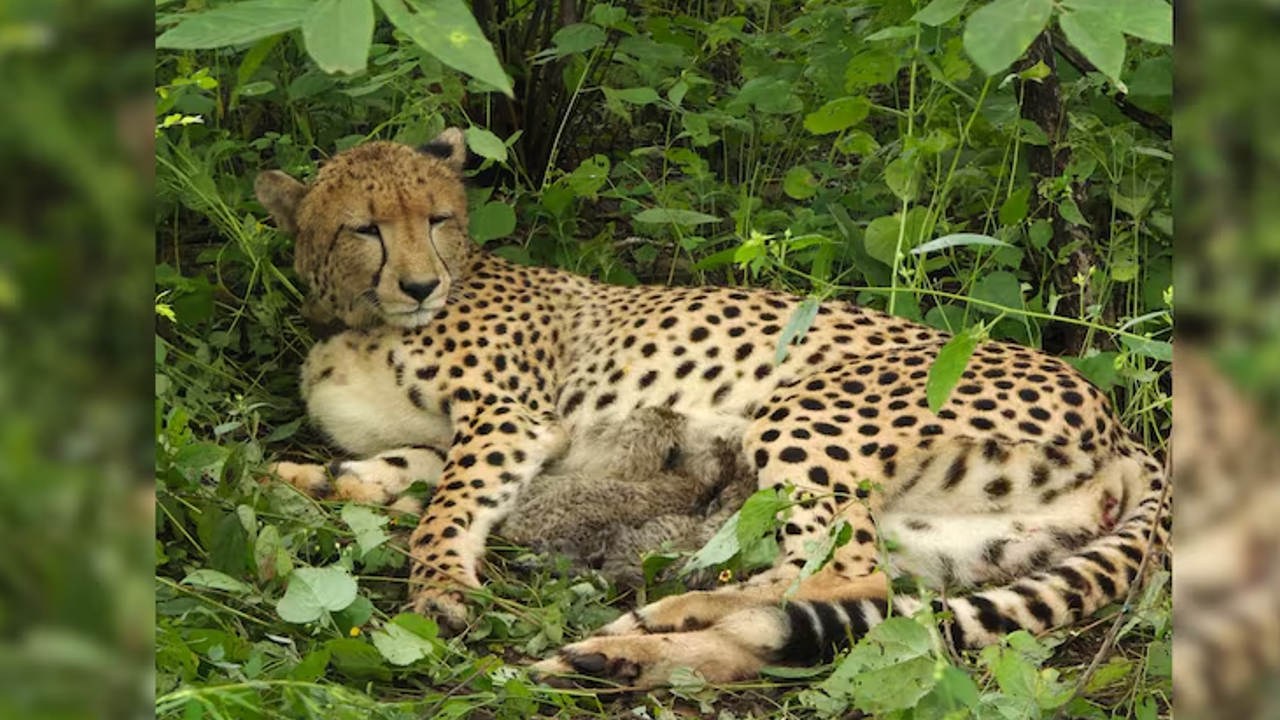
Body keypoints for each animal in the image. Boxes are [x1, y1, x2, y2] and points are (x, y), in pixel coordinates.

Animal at [254, 128, 1172, 689]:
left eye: (438, 218)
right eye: (365, 228)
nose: (420, 285)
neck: (361, 319)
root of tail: (1125, 424)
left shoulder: (510, 421)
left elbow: (443, 511)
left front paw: (439, 586)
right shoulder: (453, 441)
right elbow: (384, 473)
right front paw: (291, 481)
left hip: (806, 409)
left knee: (845, 572)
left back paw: (647, 628)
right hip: (957, 537)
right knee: (830, 597)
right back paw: (633, 647)